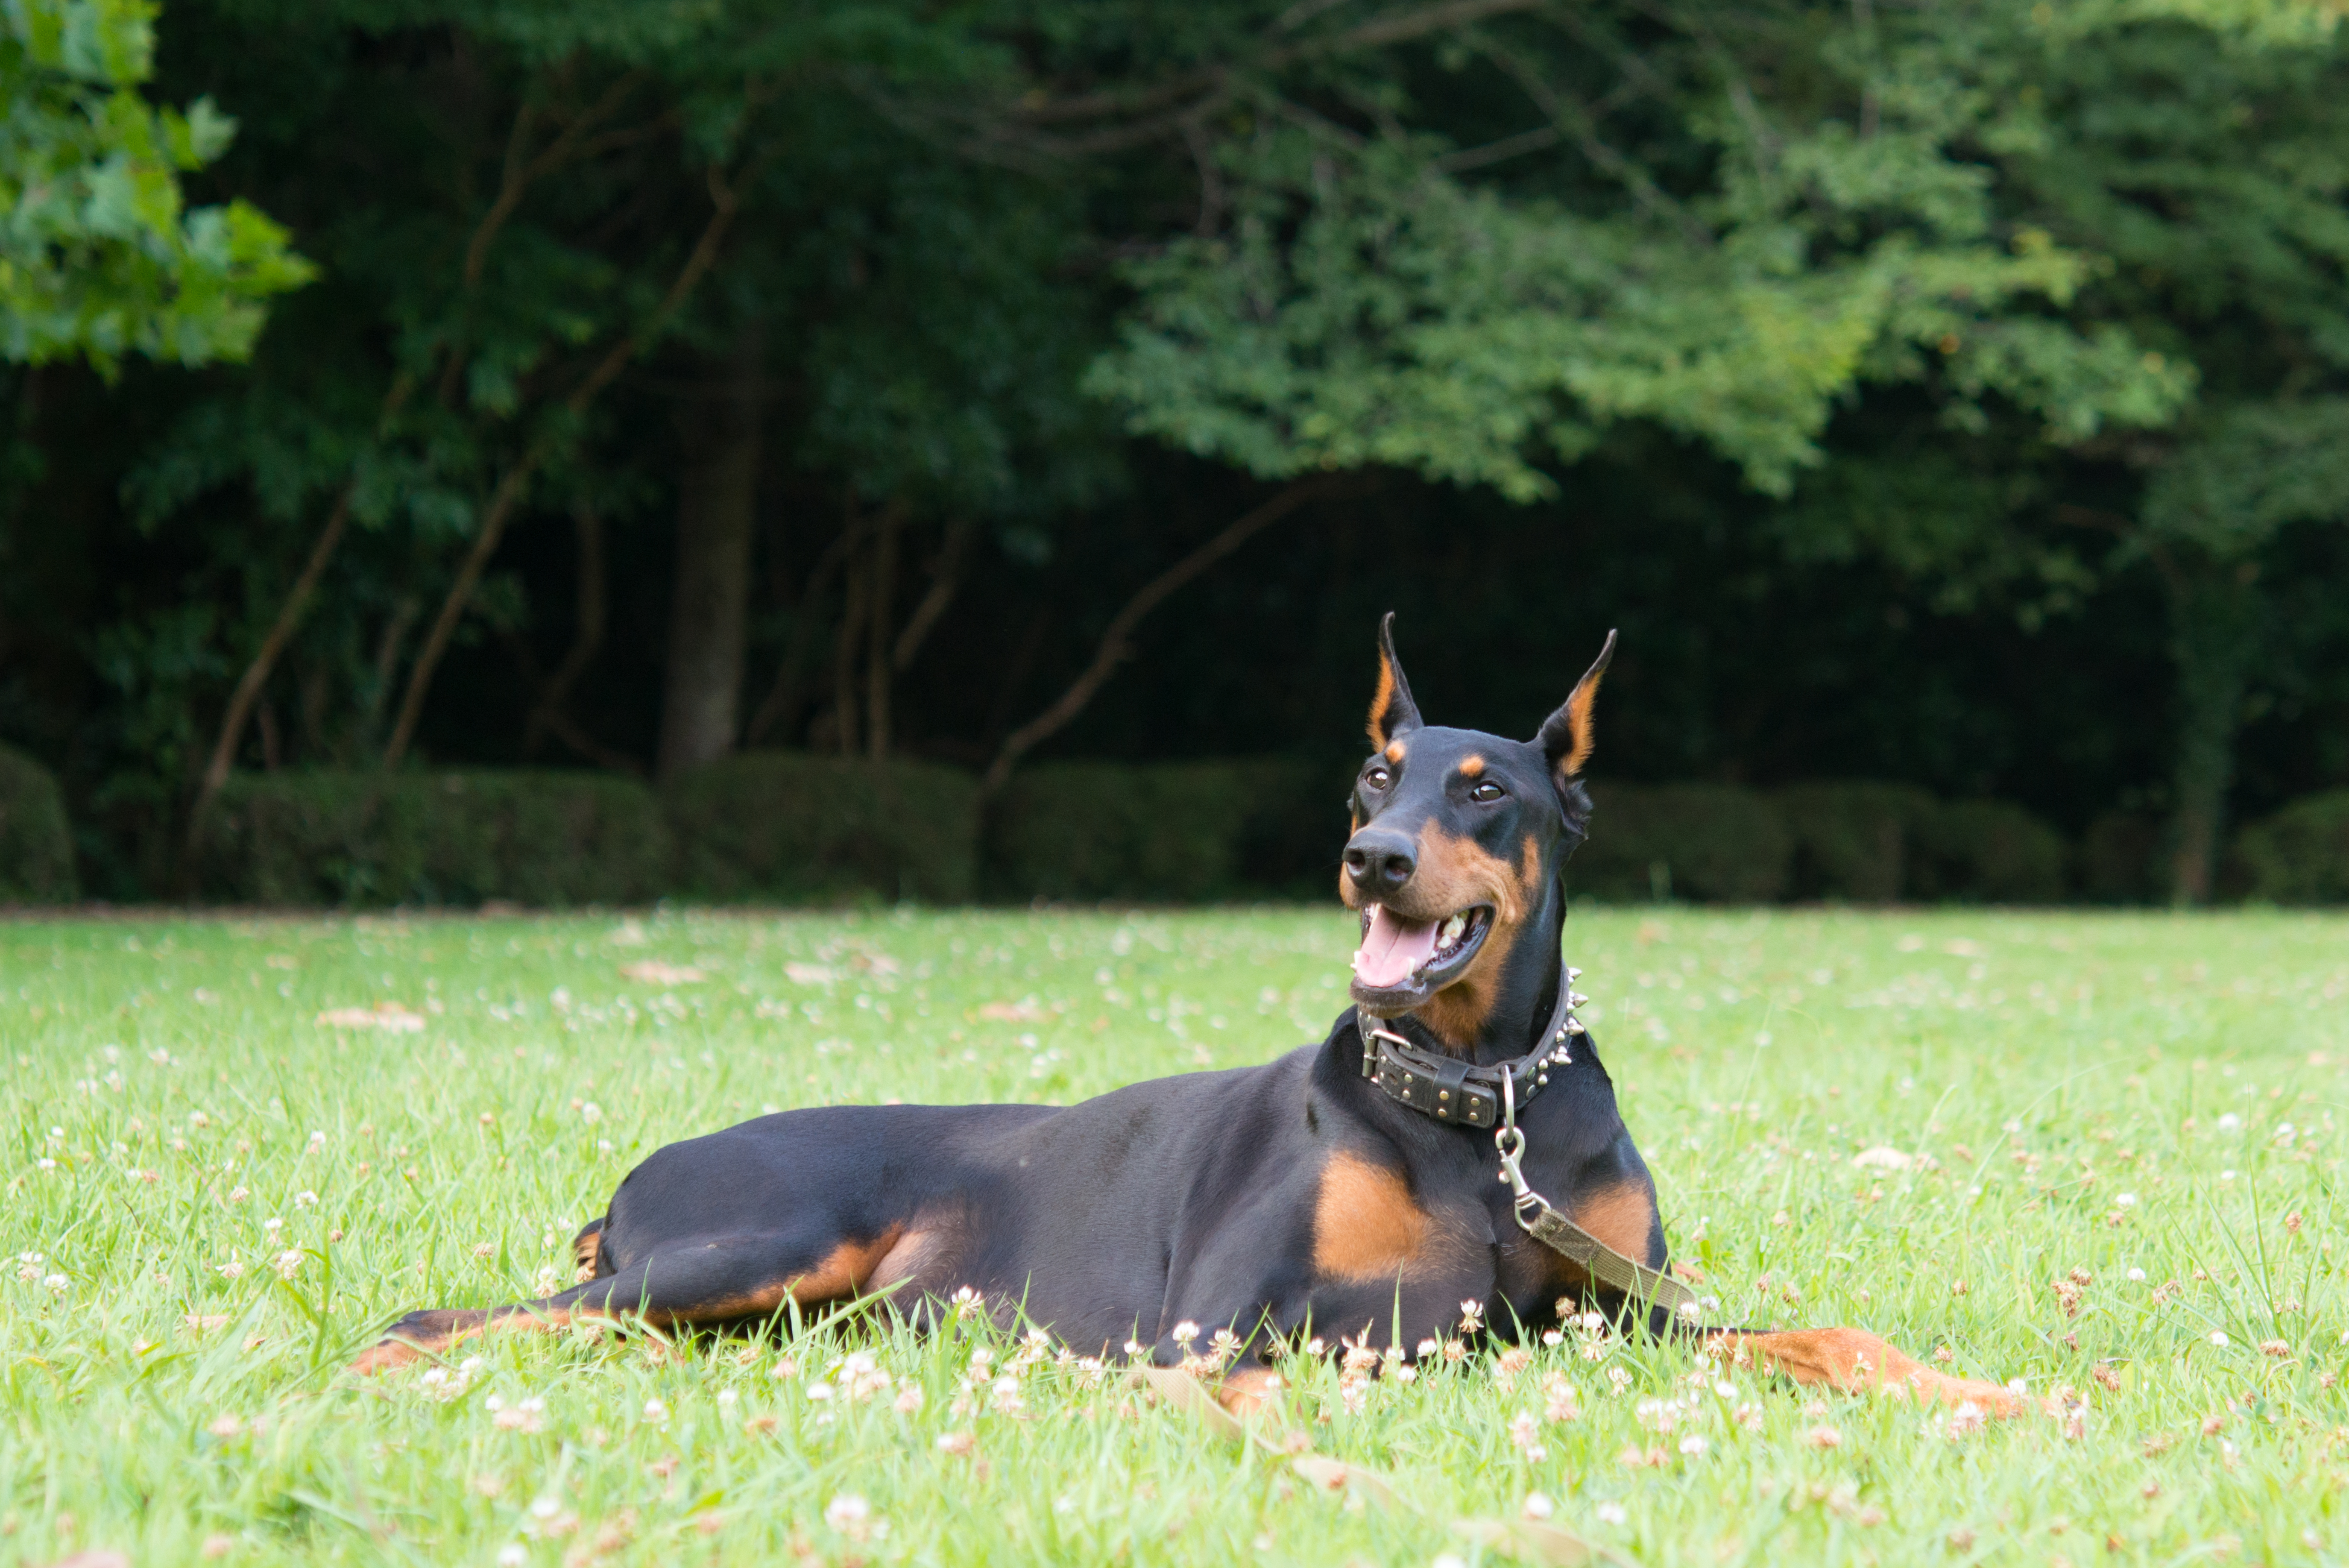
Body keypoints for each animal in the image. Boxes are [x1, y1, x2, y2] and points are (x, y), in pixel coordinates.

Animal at [348, 615, 2020, 1420]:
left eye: (1487, 788)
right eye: (1373, 776)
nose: (1375, 855)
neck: (1478, 1097)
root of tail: (639, 1172)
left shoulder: (1624, 1312)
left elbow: (1826, 1333)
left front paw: (1995, 1390)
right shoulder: (1228, 1315)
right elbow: (1313, 1359)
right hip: (755, 1239)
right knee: (444, 1316)